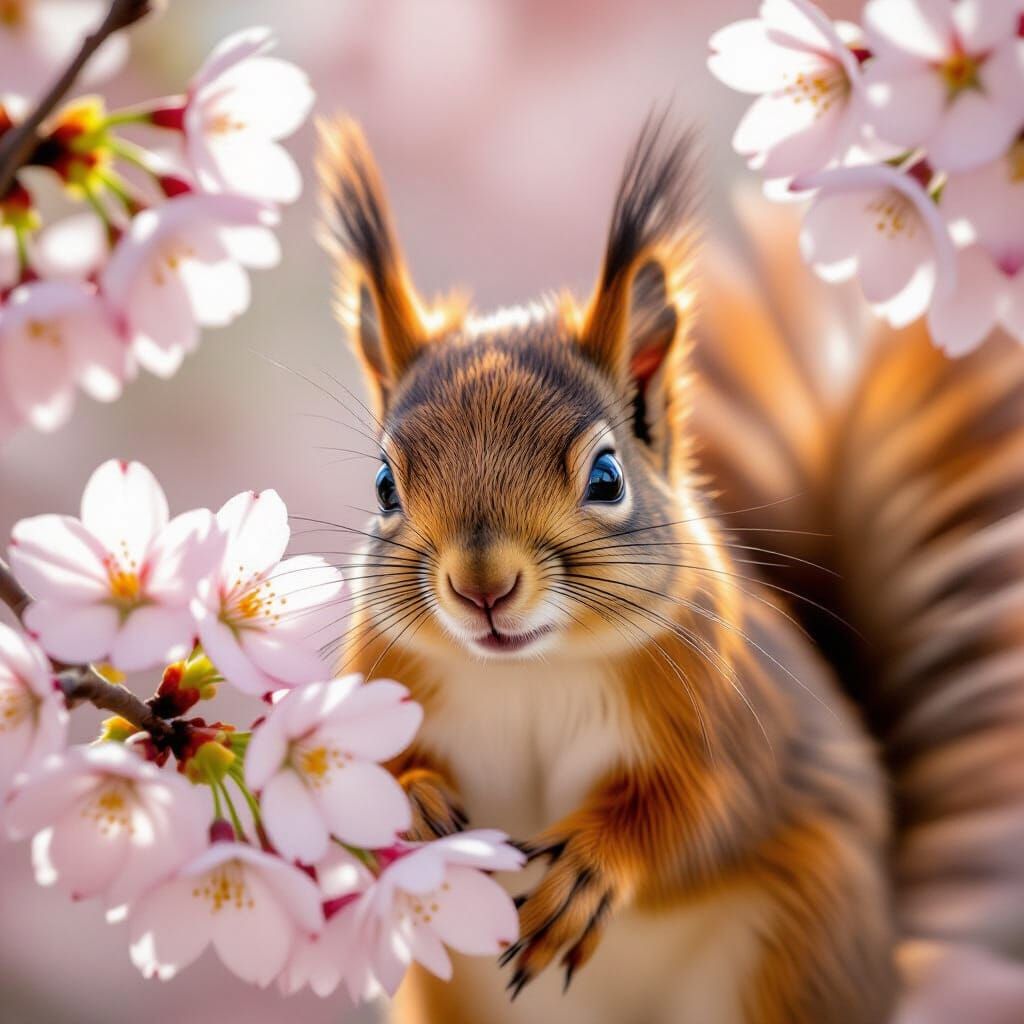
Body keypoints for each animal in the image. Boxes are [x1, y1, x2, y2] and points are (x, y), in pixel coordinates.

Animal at [315, 114, 1024, 1024]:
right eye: (384, 484)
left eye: (606, 477)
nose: (482, 588)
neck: (527, 675)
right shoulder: (380, 676)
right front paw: (409, 800)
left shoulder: (727, 717)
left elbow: (698, 813)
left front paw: (588, 869)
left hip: (797, 943)